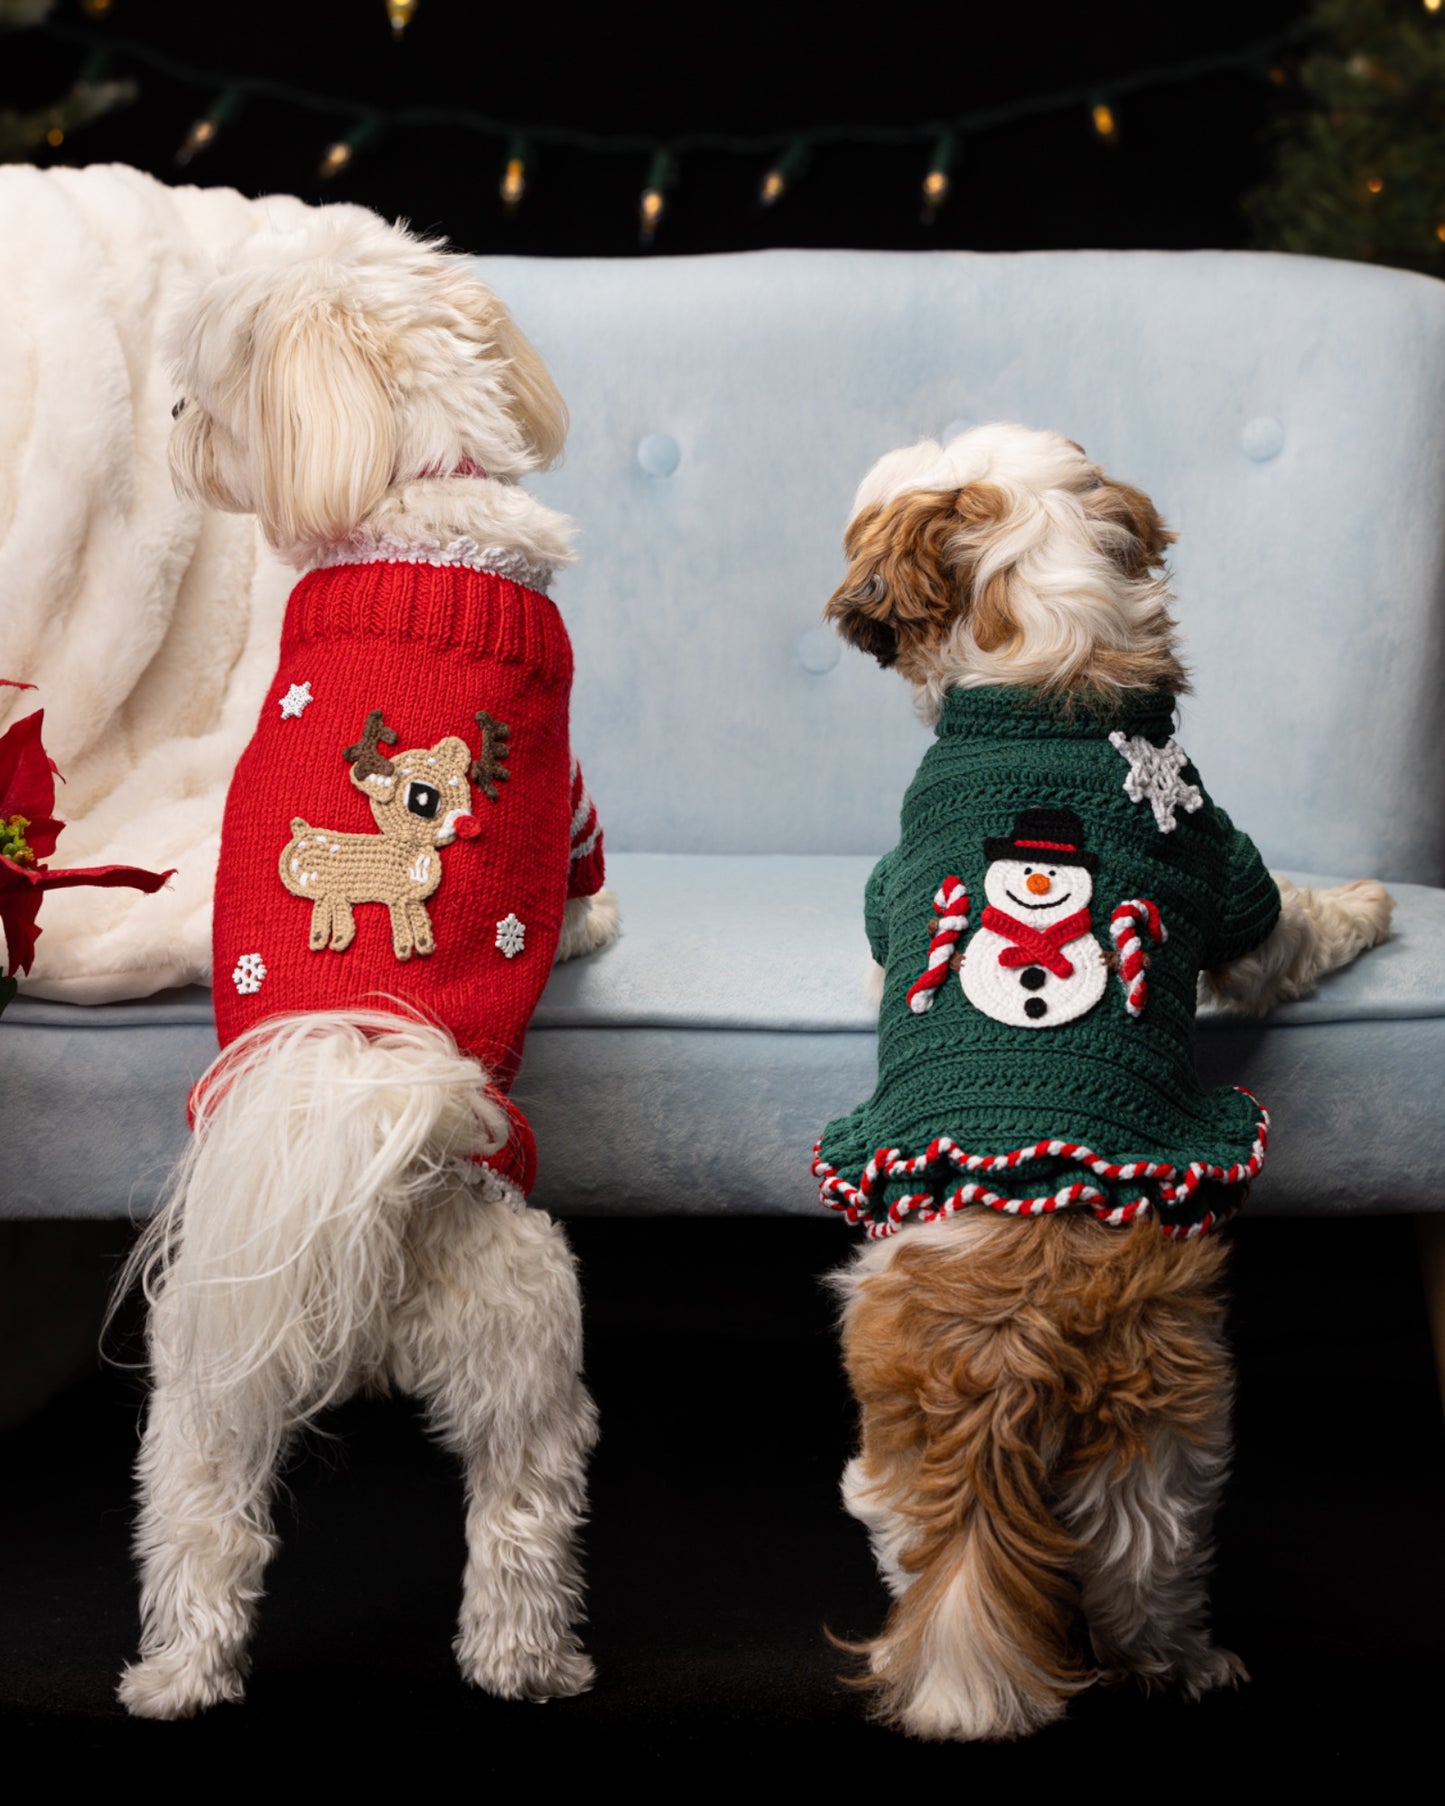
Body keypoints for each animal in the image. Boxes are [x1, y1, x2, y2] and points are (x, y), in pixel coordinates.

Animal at [117, 211, 614, 1719]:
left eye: (209, 388)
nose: (170, 419)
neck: (421, 505)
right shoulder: (578, 796)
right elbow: (584, 875)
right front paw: (589, 932)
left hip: (216, 1377)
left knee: (209, 1526)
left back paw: (178, 1677)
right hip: (524, 1338)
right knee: (521, 1514)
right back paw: (534, 1661)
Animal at [823, 418, 1401, 1733]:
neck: (1046, 685)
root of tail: (1006, 1321)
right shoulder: (1232, 874)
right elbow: (1294, 927)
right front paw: (1366, 904)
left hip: (1000, 1444)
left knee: (1003, 1554)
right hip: (1158, 1435)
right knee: (1121, 1568)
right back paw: (1175, 1661)